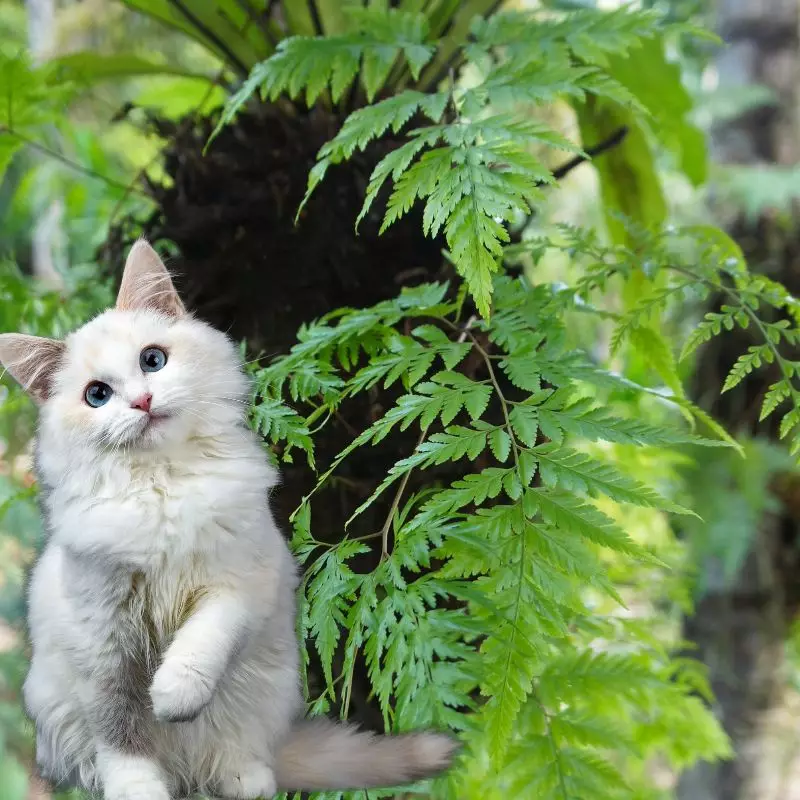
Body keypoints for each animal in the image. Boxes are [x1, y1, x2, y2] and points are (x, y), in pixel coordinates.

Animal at [0, 242, 456, 800]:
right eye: (97, 396)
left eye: (152, 360)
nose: (142, 402)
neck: (163, 486)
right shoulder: (103, 640)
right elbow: (122, 734)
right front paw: (139, 788)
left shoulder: (237, 584)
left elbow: (201, 644)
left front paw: (172, 697)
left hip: (263, 692)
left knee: (242, 756)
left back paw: (244, 777)